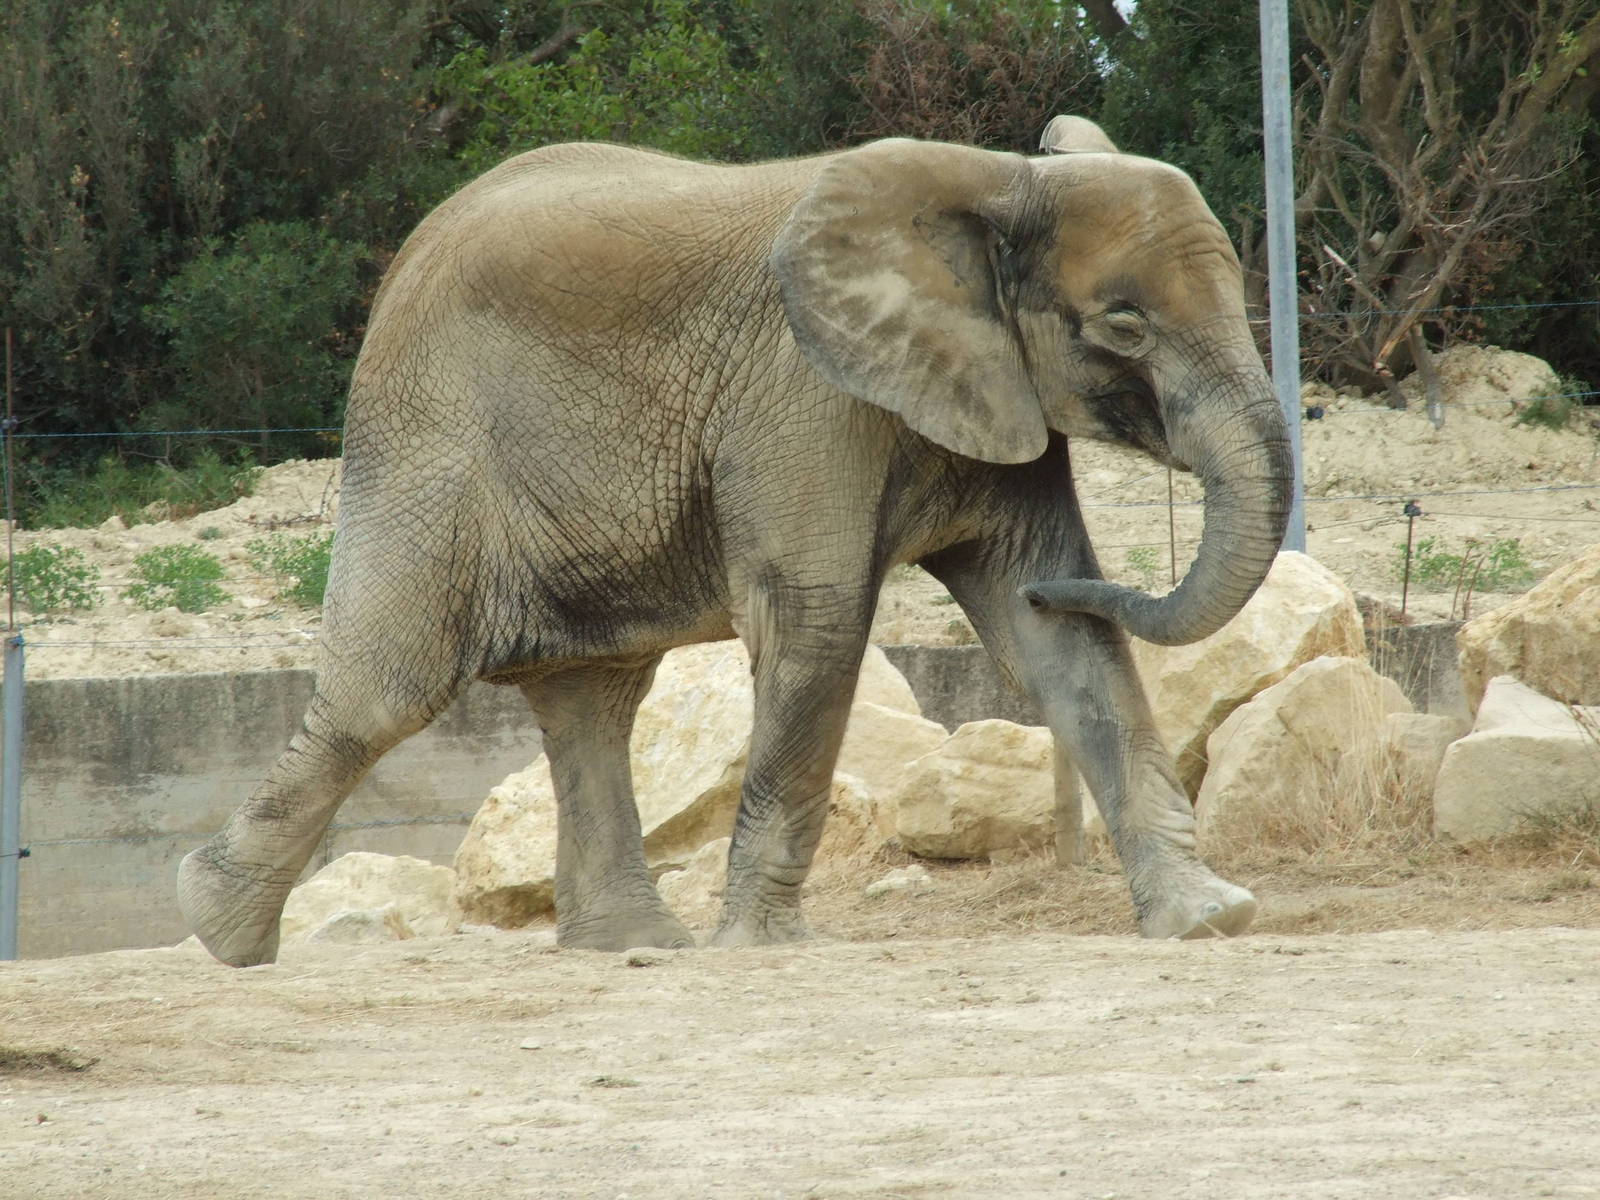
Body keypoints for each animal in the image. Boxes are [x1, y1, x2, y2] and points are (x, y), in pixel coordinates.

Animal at [178, 117, 1291, 967]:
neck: (994, 180)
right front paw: (763, 948)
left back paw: (631, 947)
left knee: (594, 698)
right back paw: (221, 933)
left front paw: (1209, 917)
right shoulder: (806, 394)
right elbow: (818, 622)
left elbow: (1062, 648)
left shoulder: (988, 389)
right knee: (388, 691)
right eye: (1123, 325)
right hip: (426, 444)